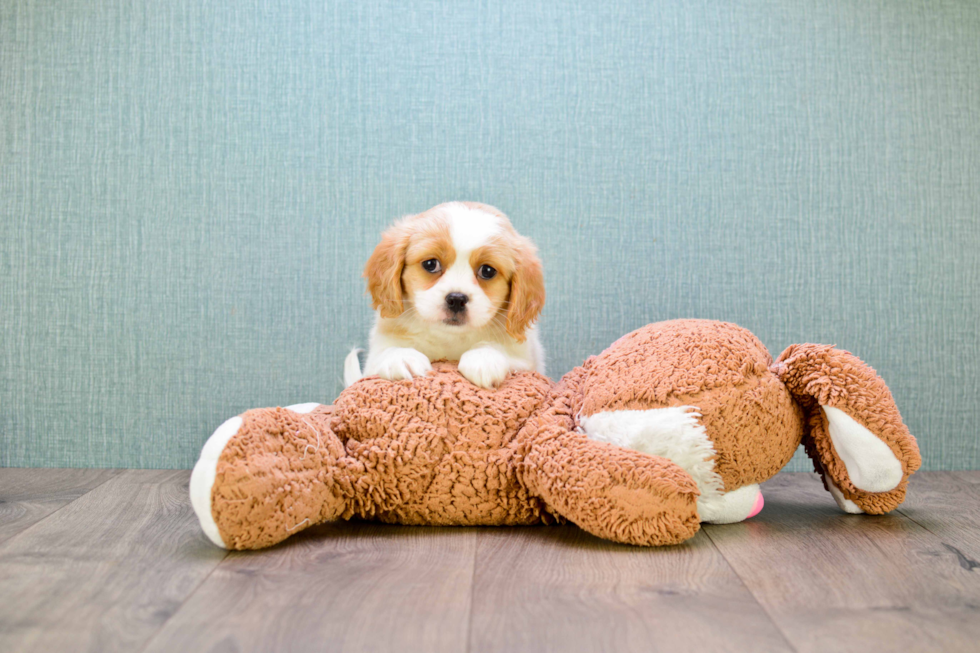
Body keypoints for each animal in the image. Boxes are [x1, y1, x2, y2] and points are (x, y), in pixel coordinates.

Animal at [342, 201, 544, 390]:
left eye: (487, 271)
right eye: (431, 264)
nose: (456, 299)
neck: (449, 338)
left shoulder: (527, 360)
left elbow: (499, 349)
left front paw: (484, 358)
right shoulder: (374, 357)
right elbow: (388, 351)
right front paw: (402, 357)